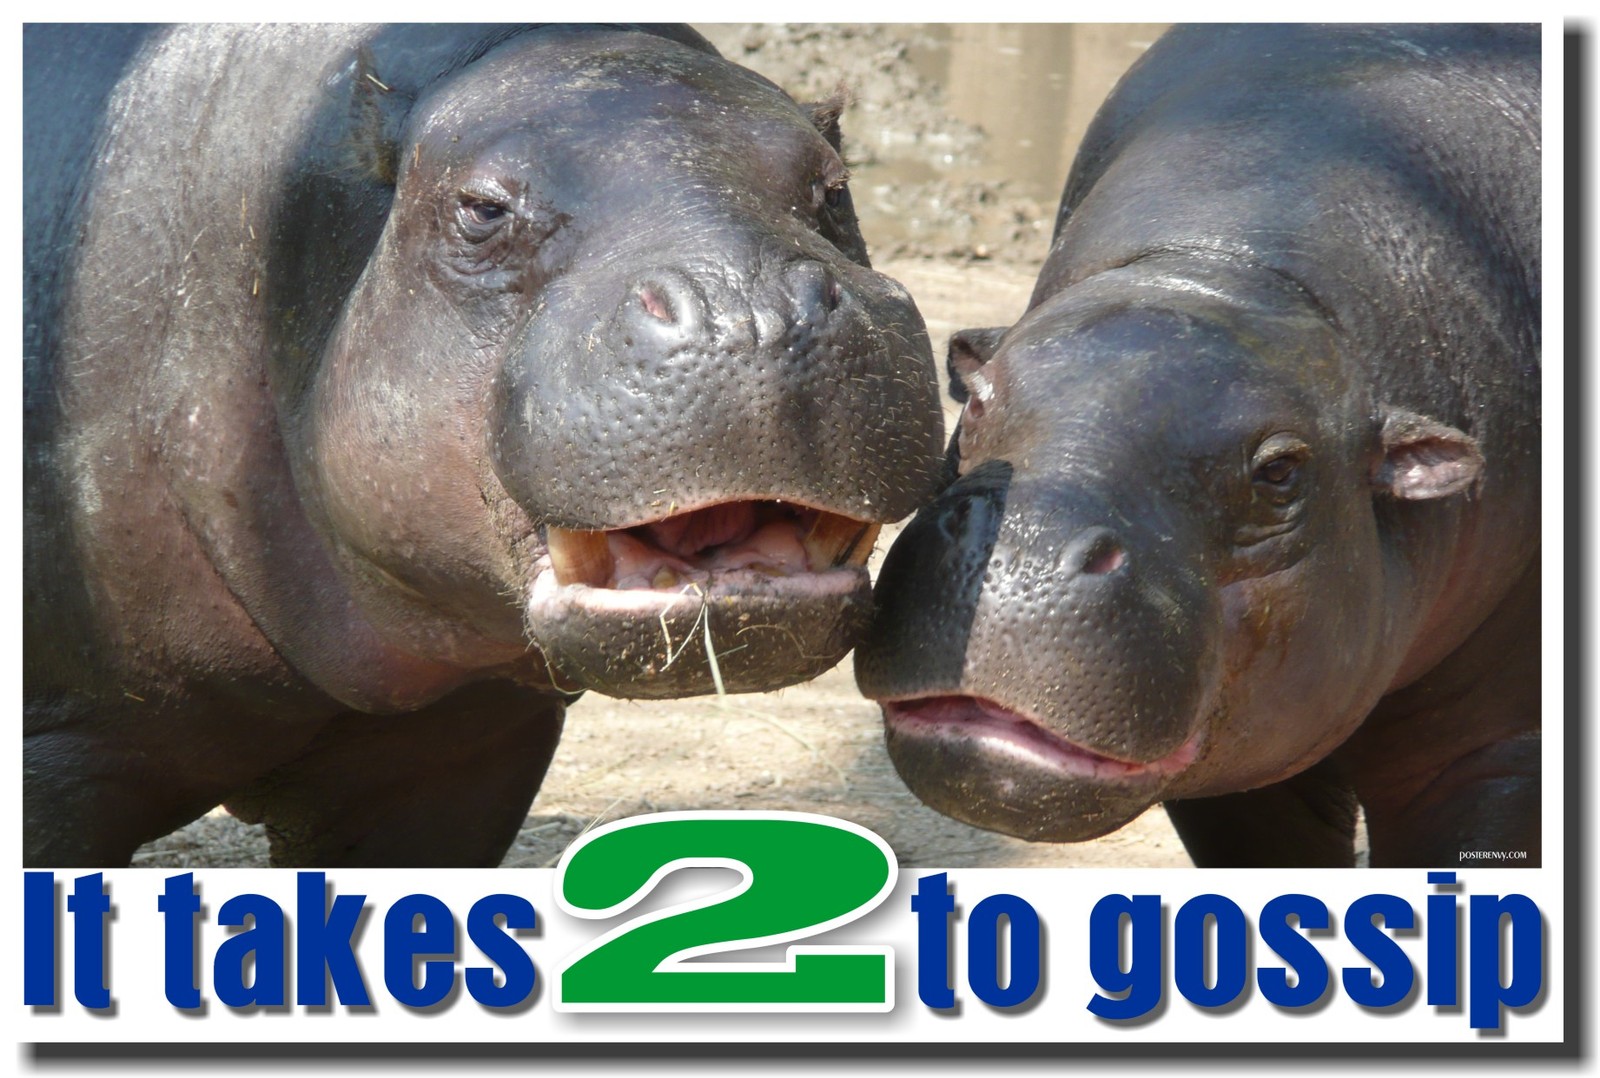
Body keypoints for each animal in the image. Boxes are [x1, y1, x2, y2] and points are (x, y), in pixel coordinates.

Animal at [857, 24, 1540, 868]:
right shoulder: (1238, 782)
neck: (1221, 277)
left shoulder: (1492, 755)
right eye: (977, 397)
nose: (1020, 557)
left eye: (1281, 471)